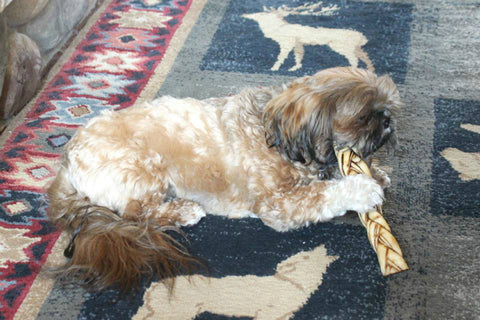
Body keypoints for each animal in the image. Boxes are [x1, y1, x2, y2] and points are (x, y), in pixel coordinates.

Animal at [47, 67, 402, 292]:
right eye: (362, 117)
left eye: (385, 109)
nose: (387, 120)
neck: (276, 133)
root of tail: (67, 160)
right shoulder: (279, 204)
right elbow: (324, 193)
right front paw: (361, 189)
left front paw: (375, 172)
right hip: (141, 168)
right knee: (139, 213)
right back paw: (184, 210)